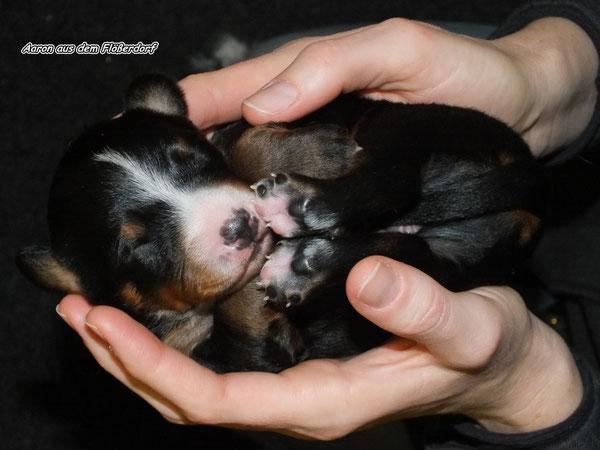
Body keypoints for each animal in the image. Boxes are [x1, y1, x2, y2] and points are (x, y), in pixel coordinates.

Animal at [17, 75, 544, 372]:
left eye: (194, 159)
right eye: (136, 249)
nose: (240, 227)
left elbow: (243, 143)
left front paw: (315, 152)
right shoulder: (241, 352)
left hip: (396, 121)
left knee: (396, 179)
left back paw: (299, 207)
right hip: (450, 266)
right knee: (404, 242)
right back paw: (303, 261)